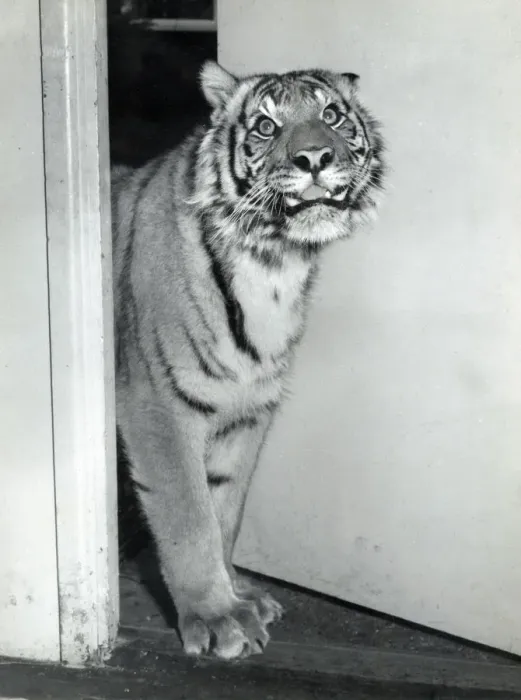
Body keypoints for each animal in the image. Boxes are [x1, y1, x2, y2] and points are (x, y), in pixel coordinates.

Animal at [111, 60, 385, 660]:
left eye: (332, 116)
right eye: (265, 126)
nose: (315, 158)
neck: (274, 261)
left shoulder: (247, 411)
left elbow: (225, 511)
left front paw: (239, 598)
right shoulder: (157, 408)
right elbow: (189, 518)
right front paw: (216, 619)